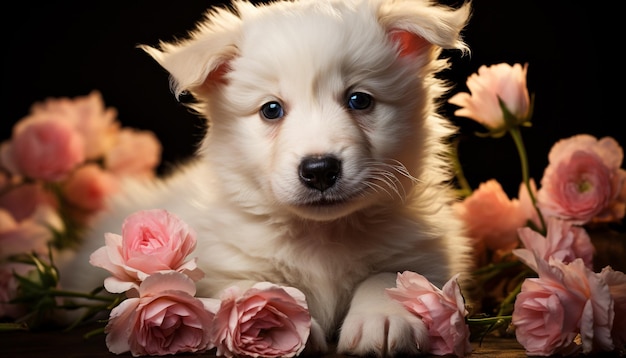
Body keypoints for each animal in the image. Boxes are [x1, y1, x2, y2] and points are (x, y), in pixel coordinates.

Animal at [59, 0, 472, 356]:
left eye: (360, 100)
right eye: (271, 110)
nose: (319, 170)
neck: (322, 235)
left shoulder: (428, 256)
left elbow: (389, 275)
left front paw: (383, 316)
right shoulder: (219, 267)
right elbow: (255, 286)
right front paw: (275, 320)